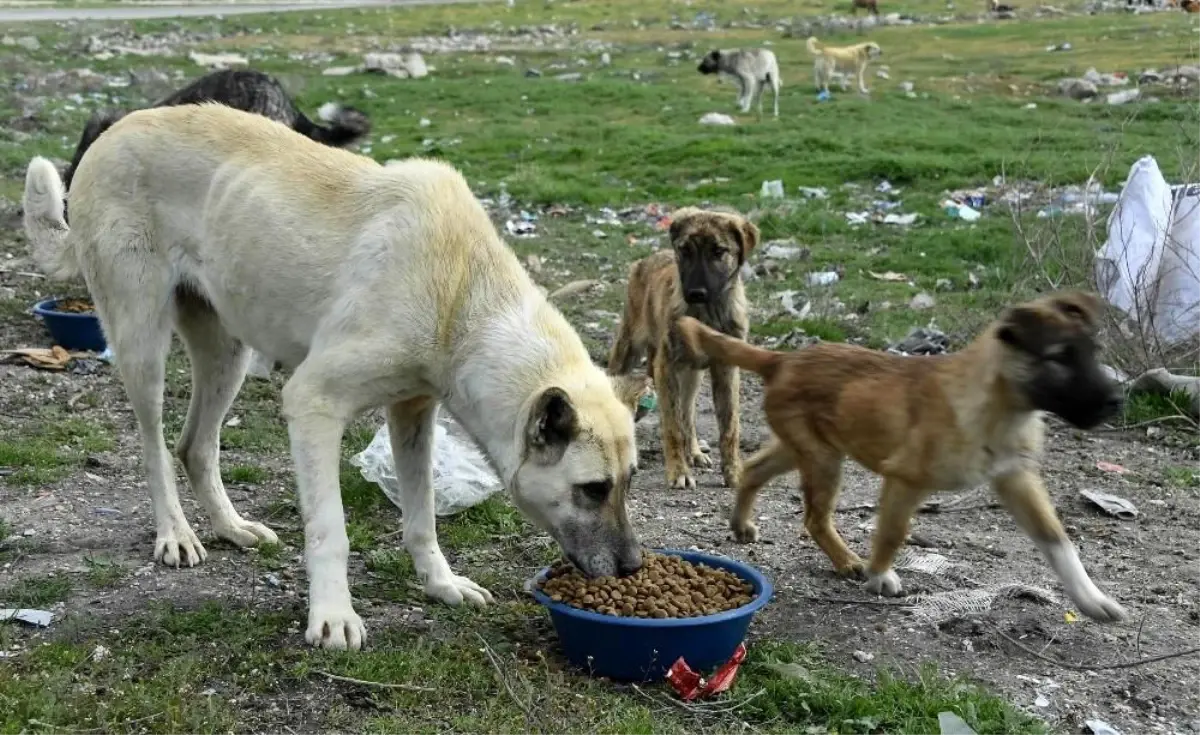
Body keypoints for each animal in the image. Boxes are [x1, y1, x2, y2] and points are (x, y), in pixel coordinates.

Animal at [23, 102, 648, 648]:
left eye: (631, 481)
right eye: (593, 489)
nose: (632, 568)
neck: (460, 297)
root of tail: (112, 132)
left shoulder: (413, 413)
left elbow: (422, 519)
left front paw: (441, 585)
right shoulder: (313, 404)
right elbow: (331, 530)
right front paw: (332, 617)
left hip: (228, 352)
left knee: (194, 445)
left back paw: (231, 527)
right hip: (143, 345)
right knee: (155, 448)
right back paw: (176, 534)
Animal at [609, 206, 758, 490]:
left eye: (718, 251)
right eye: (685, 251)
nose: (695, 293)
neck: (707, 314)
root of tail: (648, 259)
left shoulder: (726, 369)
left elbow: (729, 427)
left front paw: (733, 472)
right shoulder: (666, 366)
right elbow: (673, 426)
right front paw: (679, 471)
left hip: (691, 375)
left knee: (688, 414)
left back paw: (696, 452)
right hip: (630, 347)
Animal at [681, 289, 1128, 624]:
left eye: (1092, 351)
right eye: (1059, 357)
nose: (1117, 401)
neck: (998, 405)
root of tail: (783, 359)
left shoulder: (1016, 478)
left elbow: (1058, 541)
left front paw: (1092, 600)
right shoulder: (905, 479)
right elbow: (892, 532)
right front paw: (880, 575)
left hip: (809, 448)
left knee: (754, 470)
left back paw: (742, 525)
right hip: (822, 458)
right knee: (814, 517)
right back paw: (849, 561)